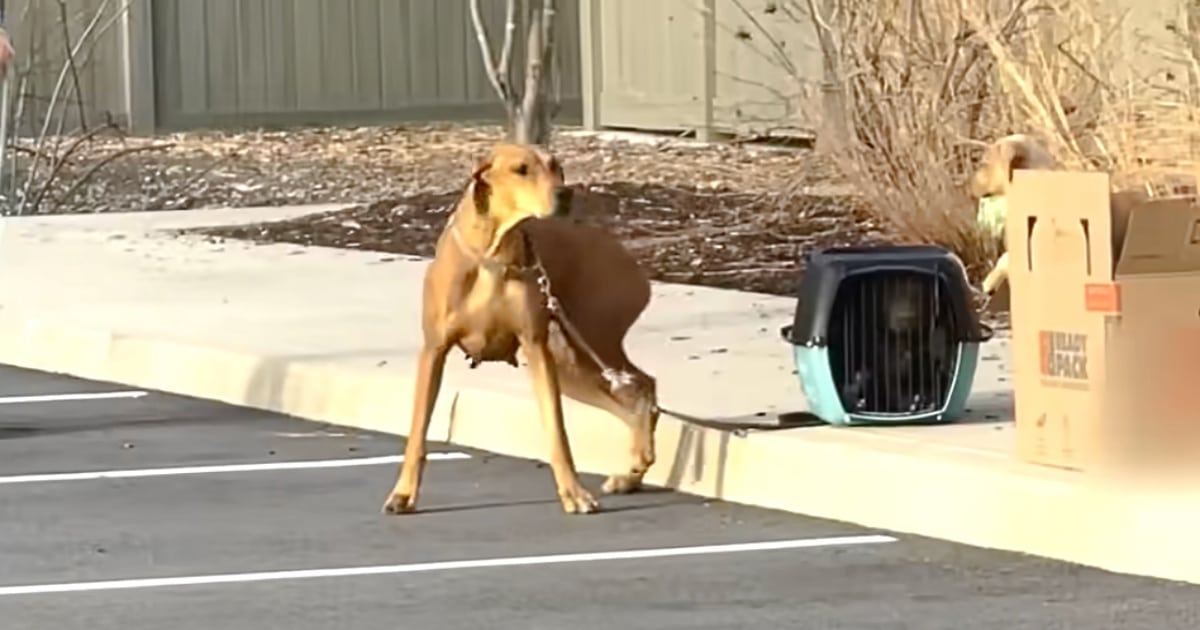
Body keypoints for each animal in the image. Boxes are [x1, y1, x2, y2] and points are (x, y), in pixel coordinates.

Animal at [381, 142, 657, 516]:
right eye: (521, 170)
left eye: (556, 167)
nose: (565, 193)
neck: (493, 252)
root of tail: (624, 253)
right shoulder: (434, 350)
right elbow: (417, 433)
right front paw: (403, 493)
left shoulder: (536, 348)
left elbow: (558, 432)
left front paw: (574, 493)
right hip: (573, 362)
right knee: (635, 398)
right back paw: (632, 473)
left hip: (586, 341)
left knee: (643, 388)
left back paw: (634, 469)